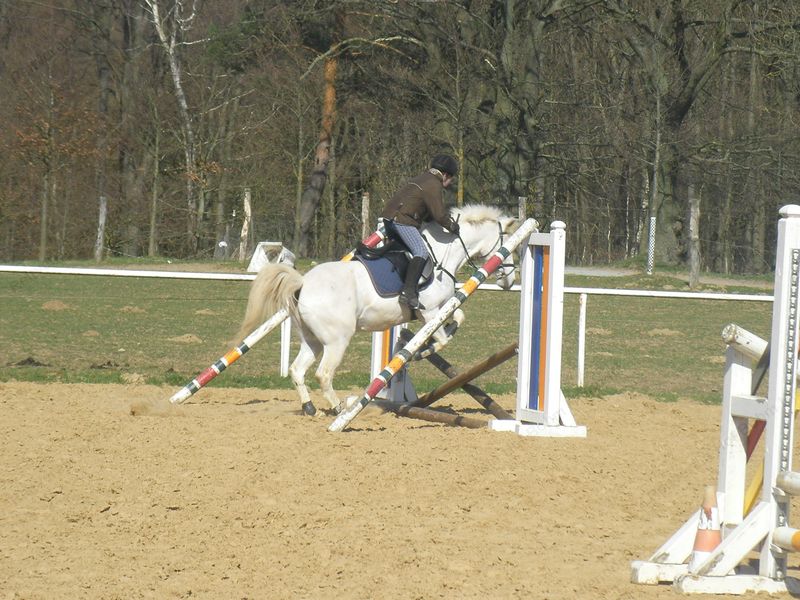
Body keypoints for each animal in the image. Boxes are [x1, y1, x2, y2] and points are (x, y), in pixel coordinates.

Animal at [237, 204, 520, 416]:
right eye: (508, 248)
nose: (509, 281)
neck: (443, 253)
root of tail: (303, 283)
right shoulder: (429, 311)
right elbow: (441, 339)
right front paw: (421, 351)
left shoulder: (443, 306)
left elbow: (458, 319)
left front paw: (427, 343)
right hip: (337, 341)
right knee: (324, 374)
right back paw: (340, 409)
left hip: (313, 340)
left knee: (297, 370)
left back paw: (309, 408)